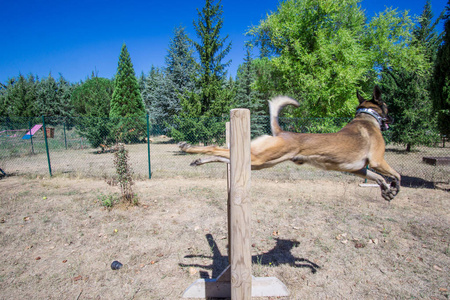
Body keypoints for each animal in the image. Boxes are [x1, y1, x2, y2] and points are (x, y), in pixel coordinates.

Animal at [178, 85, 400, 200]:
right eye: (387, 106)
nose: (393, 118)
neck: (366, 118)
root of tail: (282, 132)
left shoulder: (358, 169)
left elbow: (378, 177)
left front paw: (386, 189)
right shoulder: (378, 160)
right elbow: (396, 174)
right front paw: (395, 186)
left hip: (260, 160)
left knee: (225, 155)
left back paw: (197, 159)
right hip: (261, 157)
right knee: (216, 148)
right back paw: (188, 148)